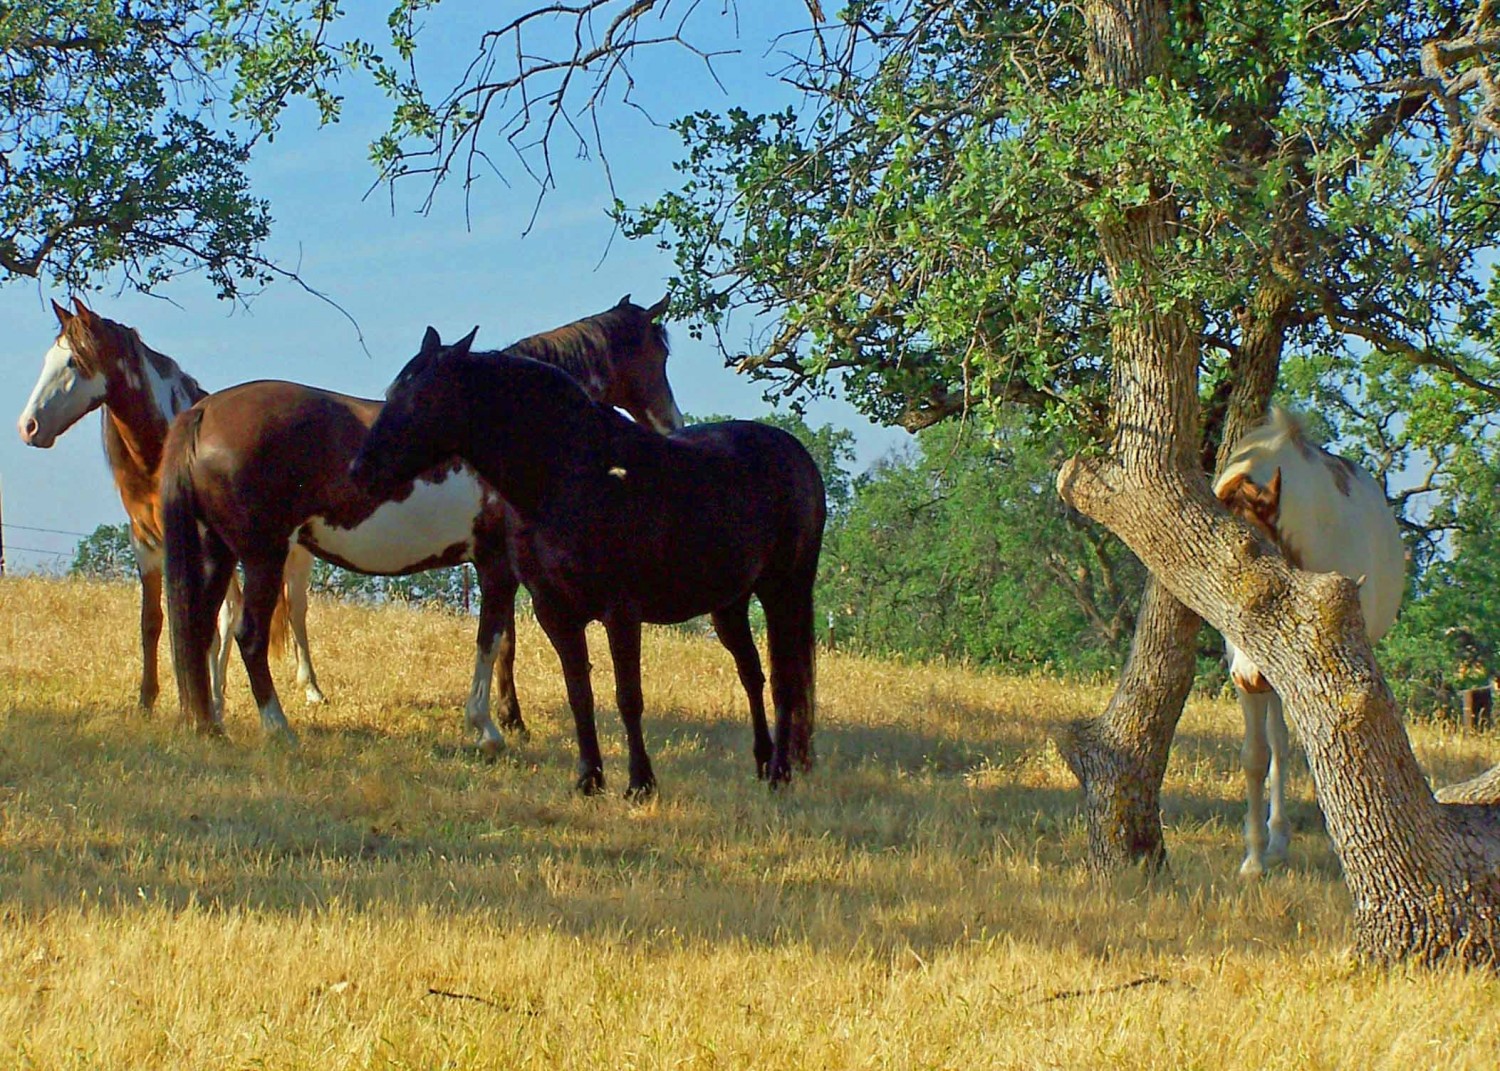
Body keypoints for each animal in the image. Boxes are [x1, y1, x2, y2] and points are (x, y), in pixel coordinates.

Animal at [16, 298, 321, 718]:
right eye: (48, 358)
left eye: (74, 362)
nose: (28, 427)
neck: (161, 452)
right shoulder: (145, 545)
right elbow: (152, 622)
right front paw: (148, 701)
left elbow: (207, 624)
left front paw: (198, 703)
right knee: (235, 612)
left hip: (294, 555)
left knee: (294, 610)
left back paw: (310, 689)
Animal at [162, 294, 683, 752]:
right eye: (657, 353)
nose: (672, 424)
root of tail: (203, 410)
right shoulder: (498, 564)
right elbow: (493, 640)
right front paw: (490, 728)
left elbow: (502, 643)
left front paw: (511, 720)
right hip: (263, 556)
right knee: (247, 635)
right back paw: (278, 729)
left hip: (216, 553)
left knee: (201, 629)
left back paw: (209, 724)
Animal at [350, 328, 826, 796]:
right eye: (392, 392)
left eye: (422, 398)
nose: (359, 470)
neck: (571, 477)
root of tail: (796, 453)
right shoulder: (555, 612)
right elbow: (580, 693)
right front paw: (588, 779)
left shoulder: (621, 611)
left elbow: (628, 696)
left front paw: (640, 784)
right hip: (729, 604)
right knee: (752, 674)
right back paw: (763, 762)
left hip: (785, 591)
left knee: (785, 681)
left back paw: (780, 773)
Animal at [1213, 407, 1406, 878]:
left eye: (1272, 568)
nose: (1252, 675)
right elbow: (1255, 755)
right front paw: (1254, 857)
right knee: (1279, 745)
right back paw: (1276, 840)